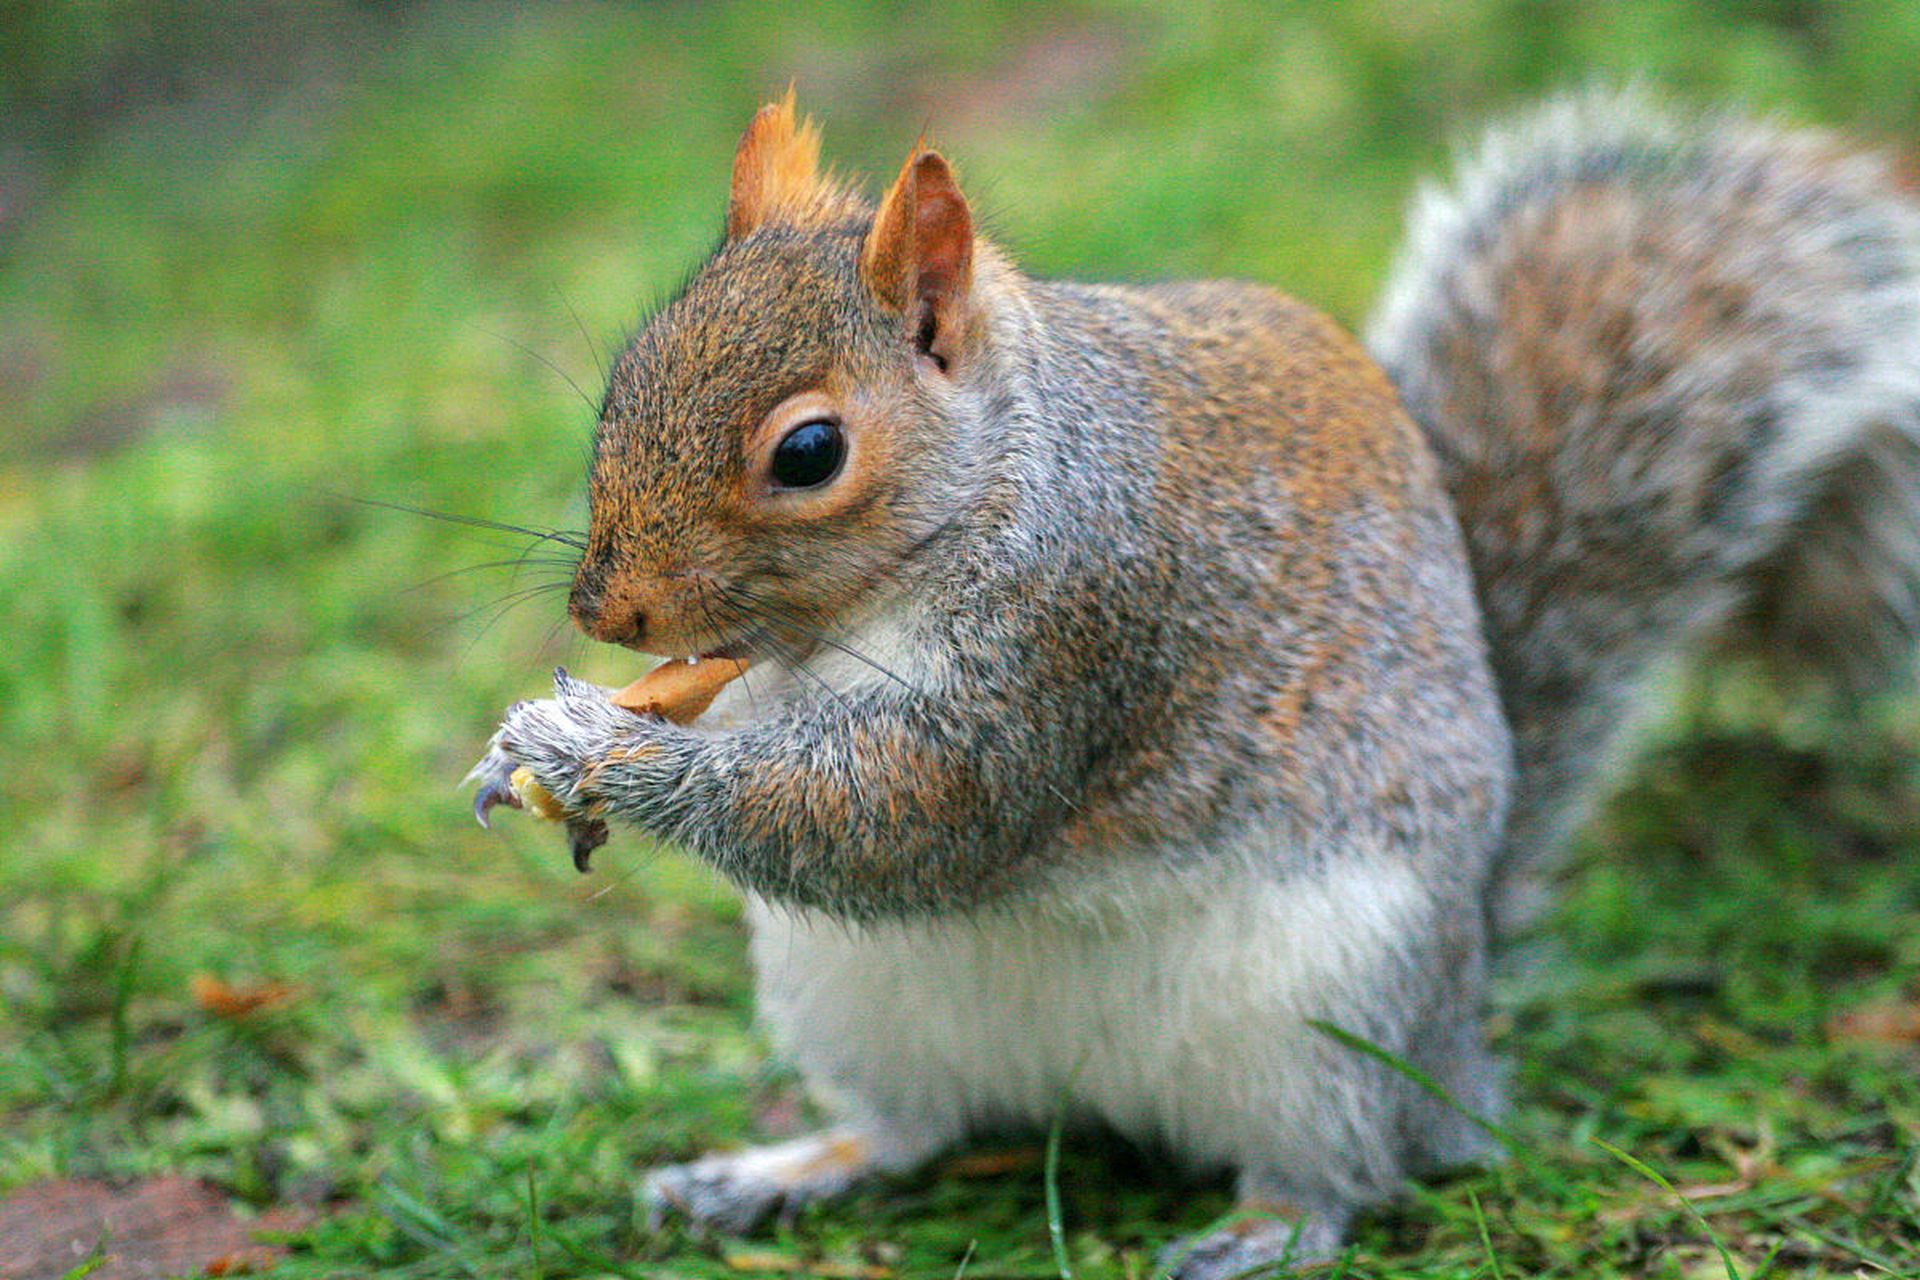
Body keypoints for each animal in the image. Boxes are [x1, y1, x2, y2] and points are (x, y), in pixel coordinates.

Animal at [464, 87, 1920, 1274]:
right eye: (625, 374)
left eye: (810, 452)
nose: (606, 609)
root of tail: (1457, 1025)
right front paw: (536, 744)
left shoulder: (1082, 625)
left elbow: (908, 813)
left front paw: (602, 749)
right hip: (854, 999)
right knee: (912, 1128)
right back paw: (773, 1169)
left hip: (1329, 1012)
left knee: (1351, 1160)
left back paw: (1266, 1228)